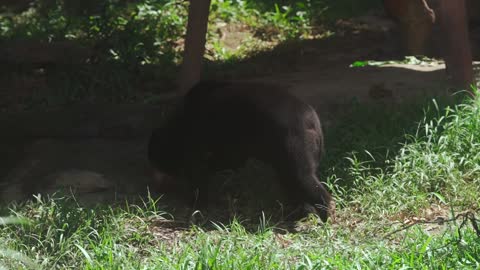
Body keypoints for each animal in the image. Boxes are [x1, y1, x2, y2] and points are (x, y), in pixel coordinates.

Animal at [147, 81, 334, 221]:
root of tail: (313, 123)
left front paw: (196, 200)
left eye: (157, 160)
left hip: (295, 147)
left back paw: (322, 215)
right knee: (290, 182)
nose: (155, 185)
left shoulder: (201, 143)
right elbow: (230, 162)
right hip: (286, 158)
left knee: (302, 179)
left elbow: (202, 170)